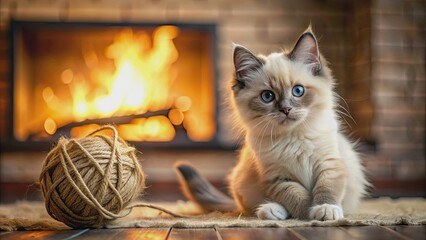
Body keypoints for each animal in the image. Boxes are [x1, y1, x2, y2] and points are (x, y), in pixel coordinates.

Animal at [176, 27, 370, 220]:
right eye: (267, 96)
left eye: (298, 91)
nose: (286, 109)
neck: (293, 137)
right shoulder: (277, 178)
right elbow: (297, 196)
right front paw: (307, 214)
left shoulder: (328, 164)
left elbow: (326, 189)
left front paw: (325, 209)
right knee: (256, 207)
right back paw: (270, 210)